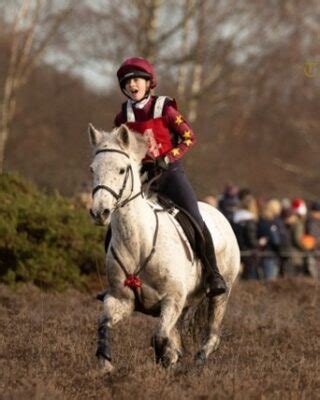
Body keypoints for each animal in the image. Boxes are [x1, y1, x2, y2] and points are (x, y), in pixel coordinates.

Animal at [89, 124, 239, 372]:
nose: (100, 212)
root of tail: (221, 216)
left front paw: (166, 361)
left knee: (212, 333)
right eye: (92, 169)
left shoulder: (171, 300)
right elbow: (103, 324)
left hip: (220, 294)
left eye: (122, 170)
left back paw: (199, 362)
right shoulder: (121, 299)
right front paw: (105, 364)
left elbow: (159, 337)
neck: (139, 243)